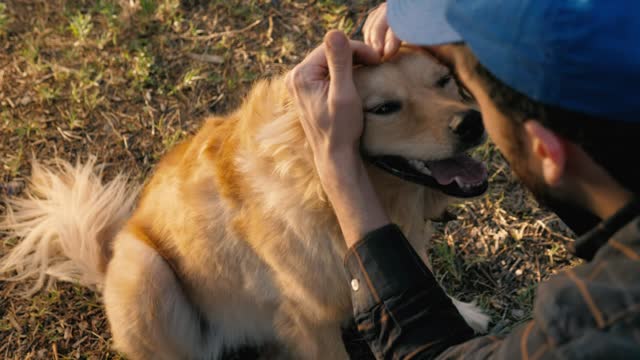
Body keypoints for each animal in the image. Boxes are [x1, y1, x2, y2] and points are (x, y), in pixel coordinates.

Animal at [1, 47, 490, 360]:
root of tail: (103, 267)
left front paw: (460, 311)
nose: (473, 122)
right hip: (144, 269)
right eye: (384, 107)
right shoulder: (309, 319)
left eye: (444, 81)